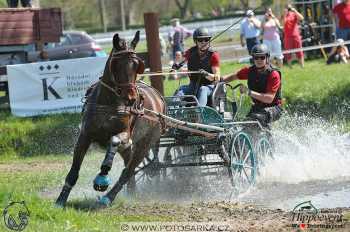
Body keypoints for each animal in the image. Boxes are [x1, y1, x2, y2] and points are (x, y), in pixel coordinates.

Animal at [56, 30, 166, 207]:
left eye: (137, 65)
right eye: (117, 65)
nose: (131, 98)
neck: (108, 104)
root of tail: (159, 98)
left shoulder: (125, 136)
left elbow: (114, 141)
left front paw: (102, 176)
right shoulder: (85, 136)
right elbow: (73, 171)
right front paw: (60, 200)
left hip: (144, 144)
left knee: (128, 171)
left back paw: (109, 196)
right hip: (129, 149)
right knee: (128, 169)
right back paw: (131, 193)